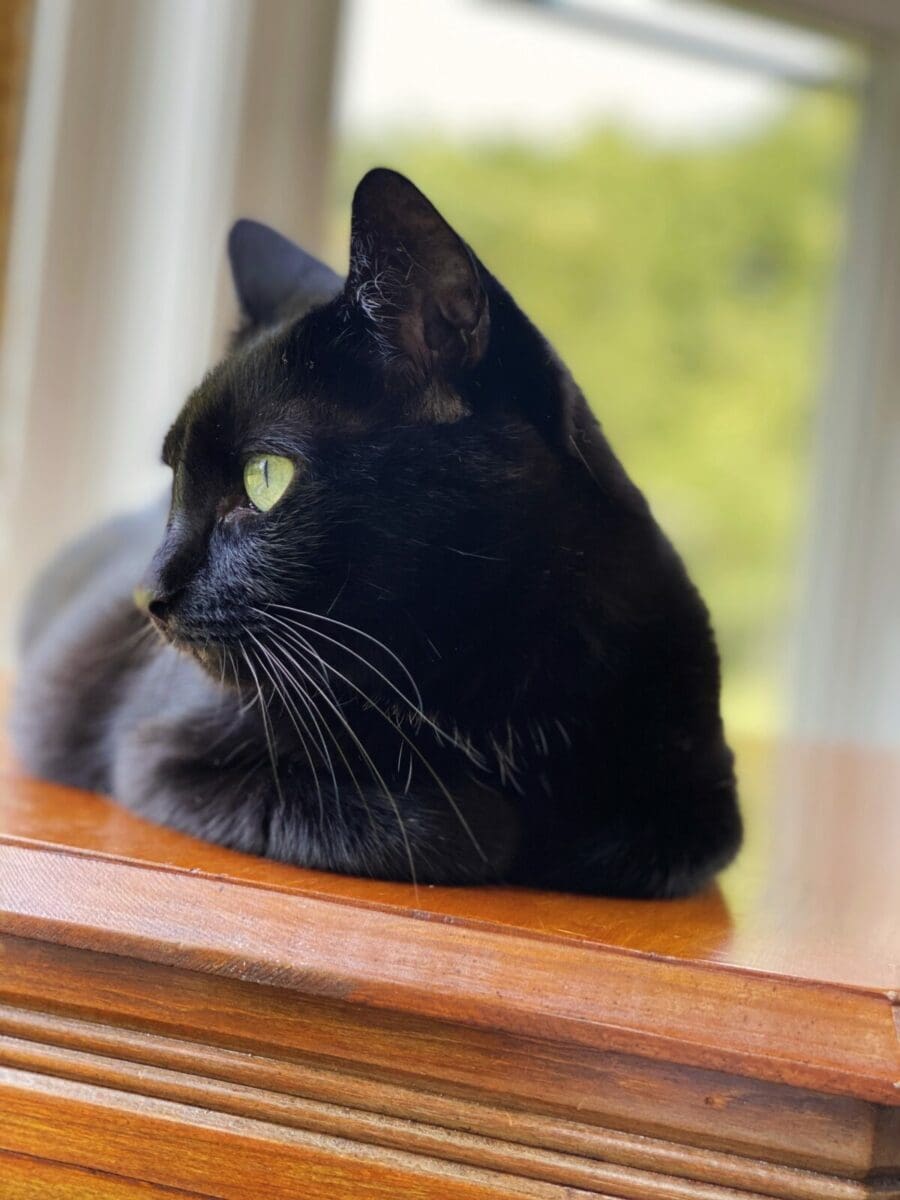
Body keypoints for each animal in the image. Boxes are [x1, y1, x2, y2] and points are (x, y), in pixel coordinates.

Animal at [10, 168, 741, 896]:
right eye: (173, 475)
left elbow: (634, 840)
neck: (474, 672)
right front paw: (491, 818)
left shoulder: (706, 800)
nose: (148, 594)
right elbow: (446, 829)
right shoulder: (158, 753)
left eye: (264, 478)